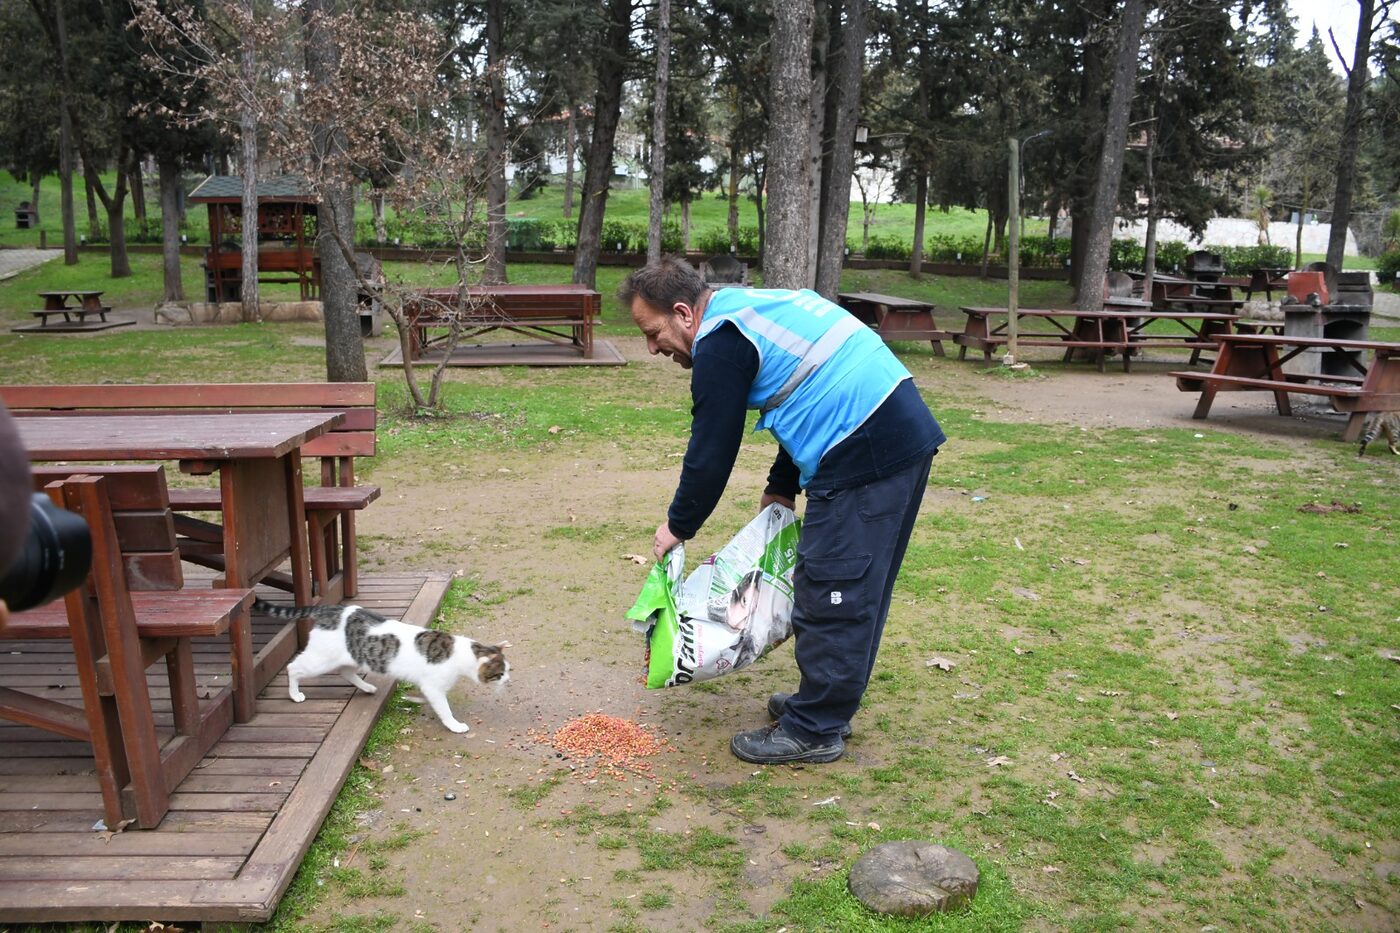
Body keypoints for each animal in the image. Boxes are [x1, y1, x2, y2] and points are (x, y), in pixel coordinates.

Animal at [257, 596, 509, 734]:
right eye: (500, 673)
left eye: (508, 670)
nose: (509, 680)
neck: (460, 653)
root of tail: (331, 608)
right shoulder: (434, 687)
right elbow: (444, 710)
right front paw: (455, 725)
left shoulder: (428, 686)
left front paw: (414, 700)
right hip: (320, 660)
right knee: (293, 667)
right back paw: (295, 694)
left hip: (352, 657)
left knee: (345, 672)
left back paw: (368, 688)